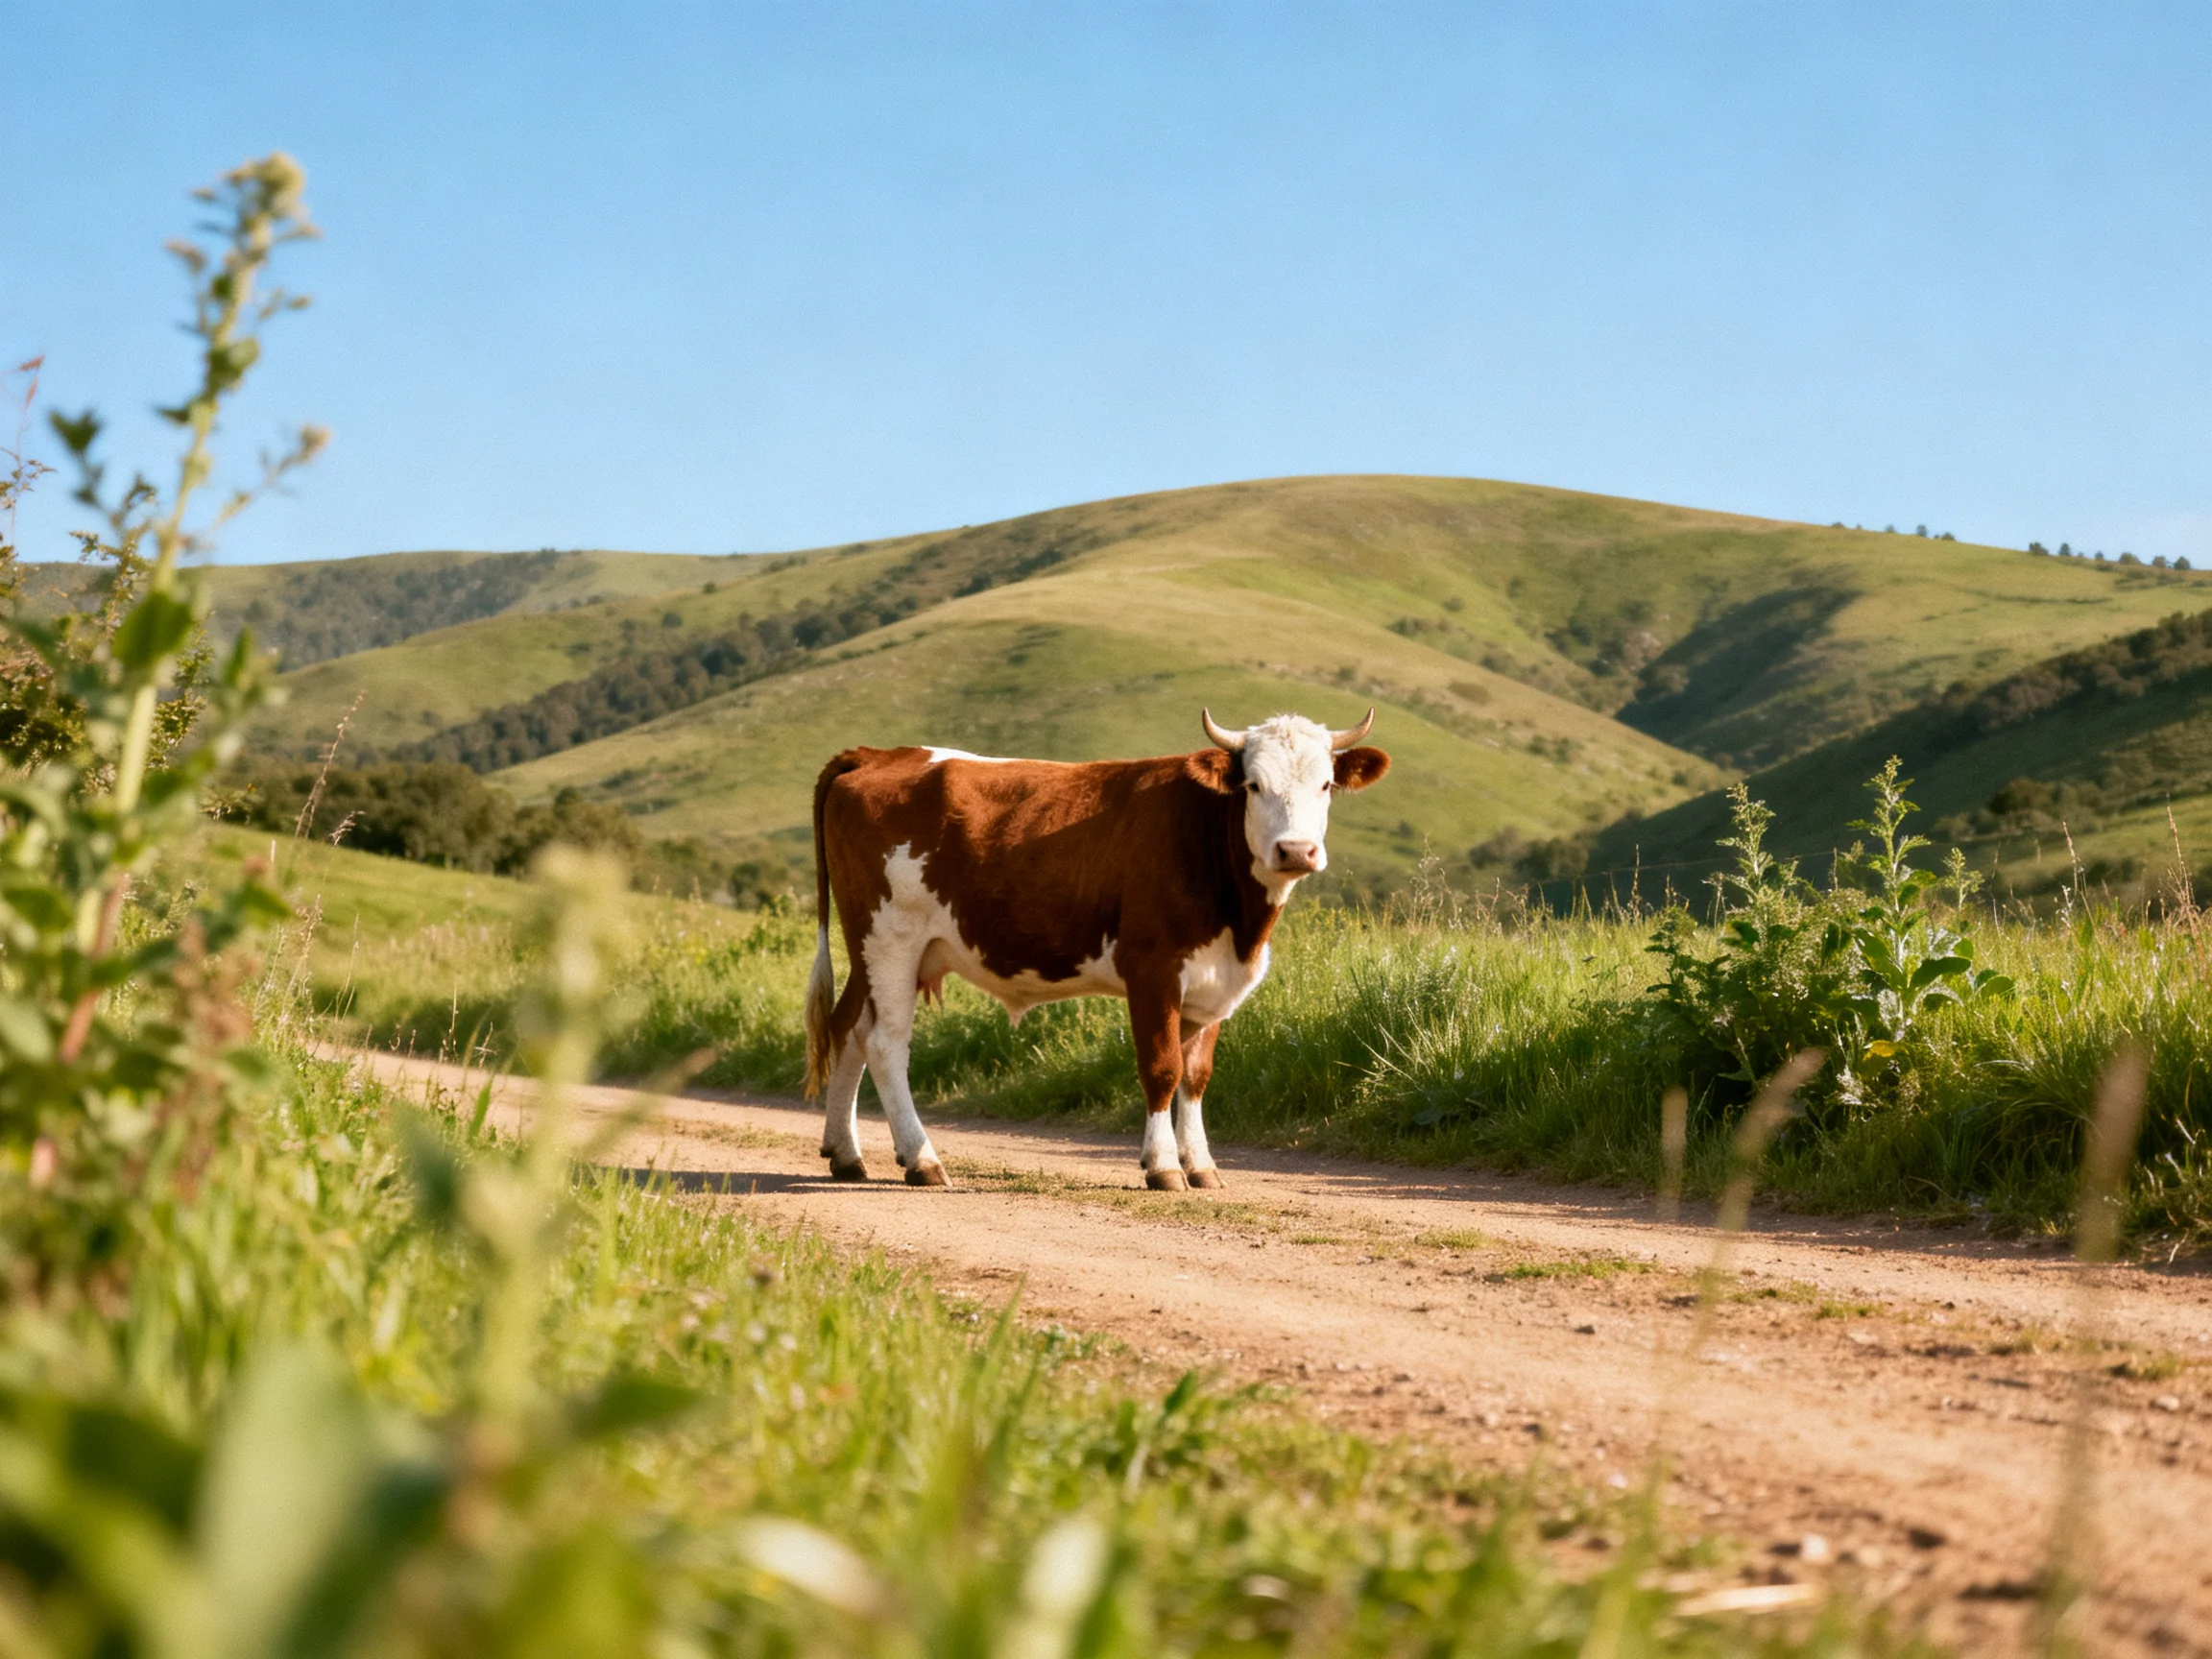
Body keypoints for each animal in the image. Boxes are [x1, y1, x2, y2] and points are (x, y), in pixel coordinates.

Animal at [802, 709, 1390, 1189]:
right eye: (1253, 784)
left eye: (1326, 784)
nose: (1295, 850)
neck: (1240, 926)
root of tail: (879, 754)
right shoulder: (1152, 969)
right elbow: (1162, 1067)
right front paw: (1164, 1166)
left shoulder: (1211, 983)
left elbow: (1196, 1075)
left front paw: (1202, 1165)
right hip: (890, 939)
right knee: (885, 1044)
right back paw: (922, 1160)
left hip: (871, 951)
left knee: (847, 1029)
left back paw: (846, 1155)